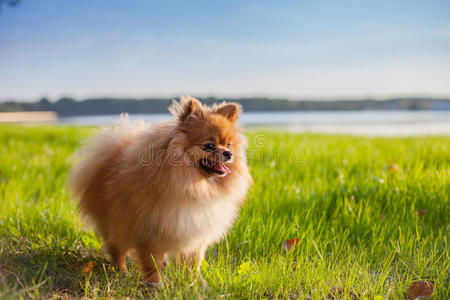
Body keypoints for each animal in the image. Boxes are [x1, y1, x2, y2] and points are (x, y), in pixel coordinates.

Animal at [70, 96, 253, 284]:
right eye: (209, 145)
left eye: (229, 144)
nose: (228, 153)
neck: (194, 186)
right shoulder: (149, 231)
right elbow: (151, 262)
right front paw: (156, 284)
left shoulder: (194, 234)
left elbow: (192, 262)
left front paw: (193, 282)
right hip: (116, 222)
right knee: (117, 249)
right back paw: (121, 272)